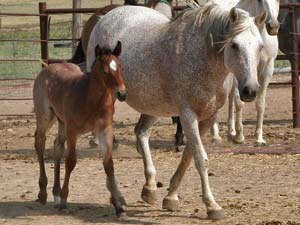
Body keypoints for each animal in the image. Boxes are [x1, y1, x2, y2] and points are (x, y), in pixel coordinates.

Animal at [32, 41, 126, 215]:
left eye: (121, 68)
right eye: (105, 71)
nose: (122, 94)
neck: (92, 99)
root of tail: (48, 67)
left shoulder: (104, 130)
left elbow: (108, 164)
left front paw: (117, 205)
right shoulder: (73, 130)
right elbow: (71, 161)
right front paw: (64, 200)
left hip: (61, 121)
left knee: (57, 146)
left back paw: (55, 194)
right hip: (45, 117)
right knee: (40, 143)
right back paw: (43, 193)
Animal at [86, 3, 264, 219]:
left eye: (260, 46)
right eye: (234, 45)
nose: (250, 90)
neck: (203, 58)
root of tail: (105, 17)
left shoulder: (207, 118)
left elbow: (188, 156)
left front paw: (171, 197)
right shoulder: (188, 115)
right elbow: (200, 159)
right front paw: (212, 206)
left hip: (153, 105)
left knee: (141, 133)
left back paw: (149, 188)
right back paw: (117, 197)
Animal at [210, 0, 280, 144]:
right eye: (260, 1)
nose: (273, 26)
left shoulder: (267, 70)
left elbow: (260, 103)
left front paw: (259, 137)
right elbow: (239, 102)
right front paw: (239, 136)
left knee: (230, 97)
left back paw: (231, 130)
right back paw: (216, 134)